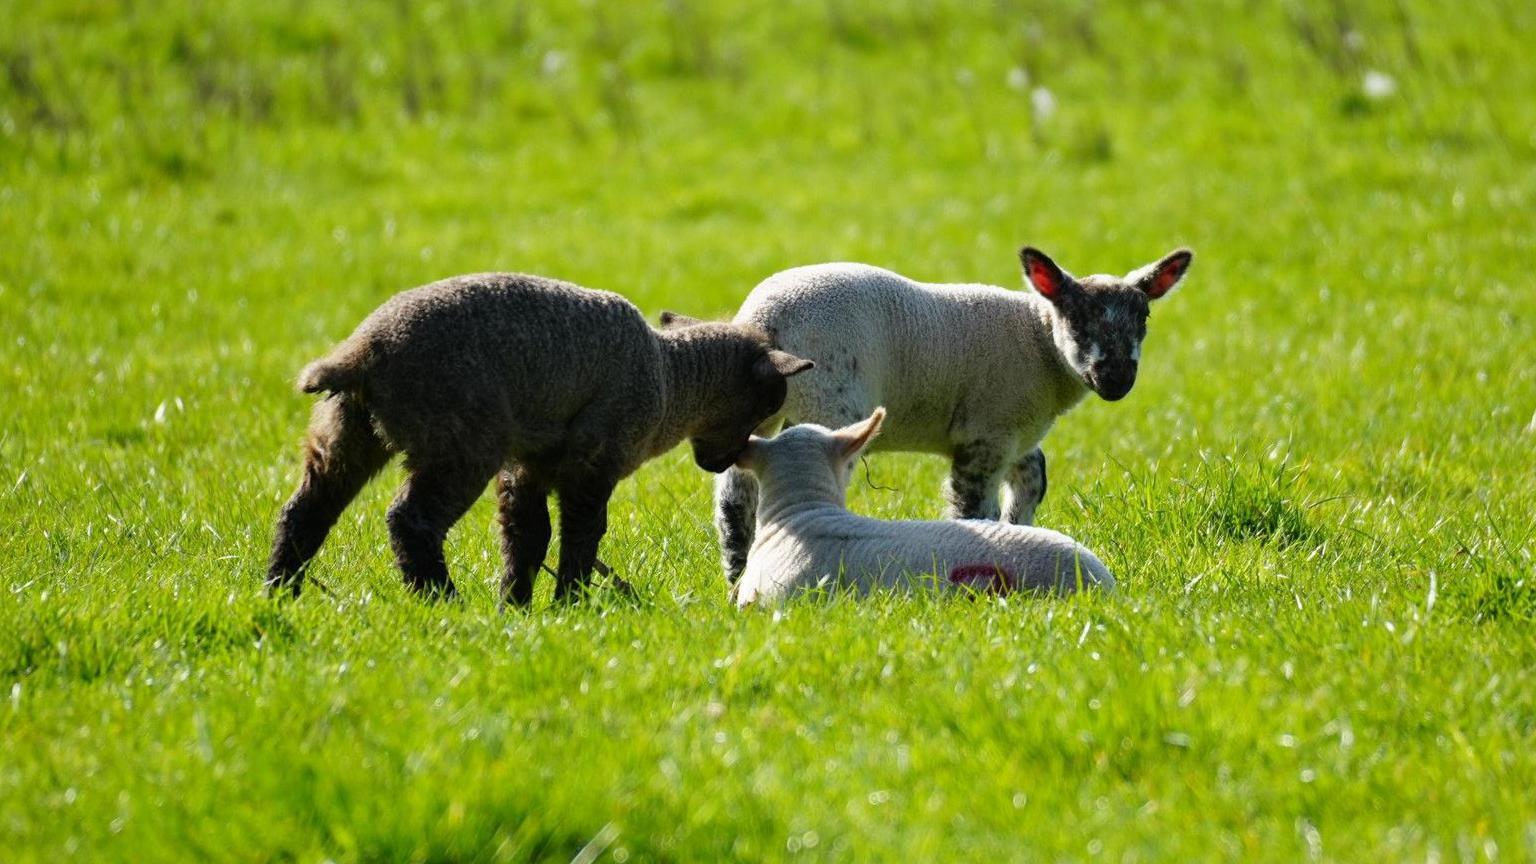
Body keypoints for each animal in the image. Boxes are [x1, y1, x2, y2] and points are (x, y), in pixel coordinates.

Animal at [266, 273, 814, 605]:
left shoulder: (527, 466)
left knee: (304, 512)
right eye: (769, 406)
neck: (671, 377)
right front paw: (569, 603)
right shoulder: (593, 462)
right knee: (410, 520)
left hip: (346, 433)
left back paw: (279, 592)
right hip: (462, 441)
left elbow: (527, 537)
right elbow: (582, 534)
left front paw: (516, 607)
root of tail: (363, 350)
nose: (720, 466)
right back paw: (443, 601)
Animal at [713, 245, 1192, 583]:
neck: (1038, 341)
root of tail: (764, 320)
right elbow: (973, 509)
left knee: (735, 499)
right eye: (1076, 321)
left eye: (1143, 319)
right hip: (831, 401)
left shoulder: (1013, 435)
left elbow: (1033, 477)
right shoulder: (986, 434)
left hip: (751, 411)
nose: (1116, 380)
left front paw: (1022, 526)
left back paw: (736, 575)